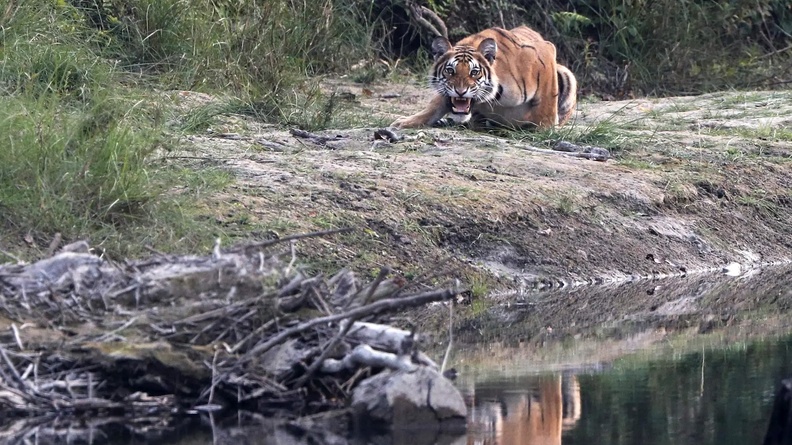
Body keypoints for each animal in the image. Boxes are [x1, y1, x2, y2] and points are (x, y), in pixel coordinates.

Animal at [391, 26, 577, 130]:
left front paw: (545, 128)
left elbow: (547, 98)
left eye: (474, 72)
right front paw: (405, 122)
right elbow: (434, 105)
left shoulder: (545, 52)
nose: (460, 92)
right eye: (450, 71)